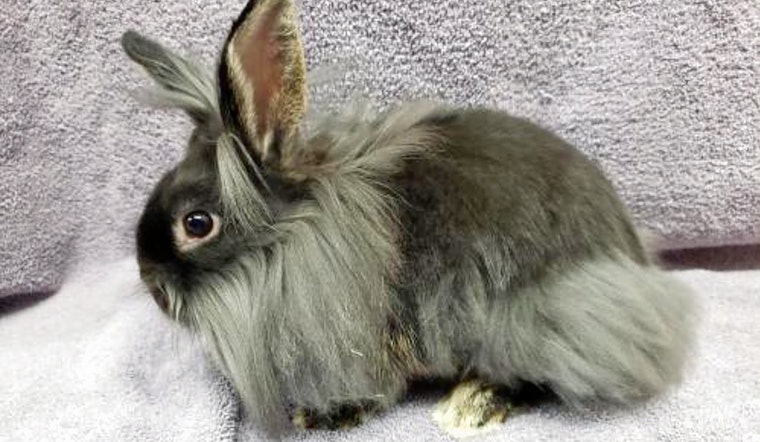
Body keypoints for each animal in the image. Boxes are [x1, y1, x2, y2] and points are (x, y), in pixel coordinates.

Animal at [122, 0, 697, 436]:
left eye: (197, 224)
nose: (152, 286)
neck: (296, 239)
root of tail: (634, 260)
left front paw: (324, 414)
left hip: (543, 313)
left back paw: (468, 407)